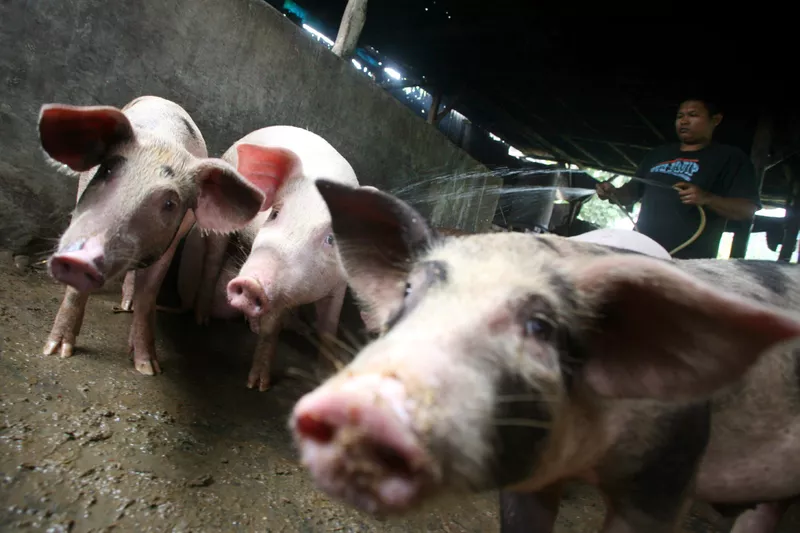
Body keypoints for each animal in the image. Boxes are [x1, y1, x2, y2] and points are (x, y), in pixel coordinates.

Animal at [39, 96, 268, 375]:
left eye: (170, 203)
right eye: (107, 170)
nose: (80, 258)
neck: (164, 144)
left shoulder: (170, 244)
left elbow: (148, 295)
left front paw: (147, 368)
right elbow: (74, 292)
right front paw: (55, 351)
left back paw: (128, 308)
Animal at [174, 126, 369, 391]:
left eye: (331, 239)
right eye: (275, 213)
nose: (251, 284)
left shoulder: (339, 285)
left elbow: (329, 328)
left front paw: (326, 375)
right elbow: (271, 328)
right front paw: (257, 386)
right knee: (212, 262)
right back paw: (201, 320)